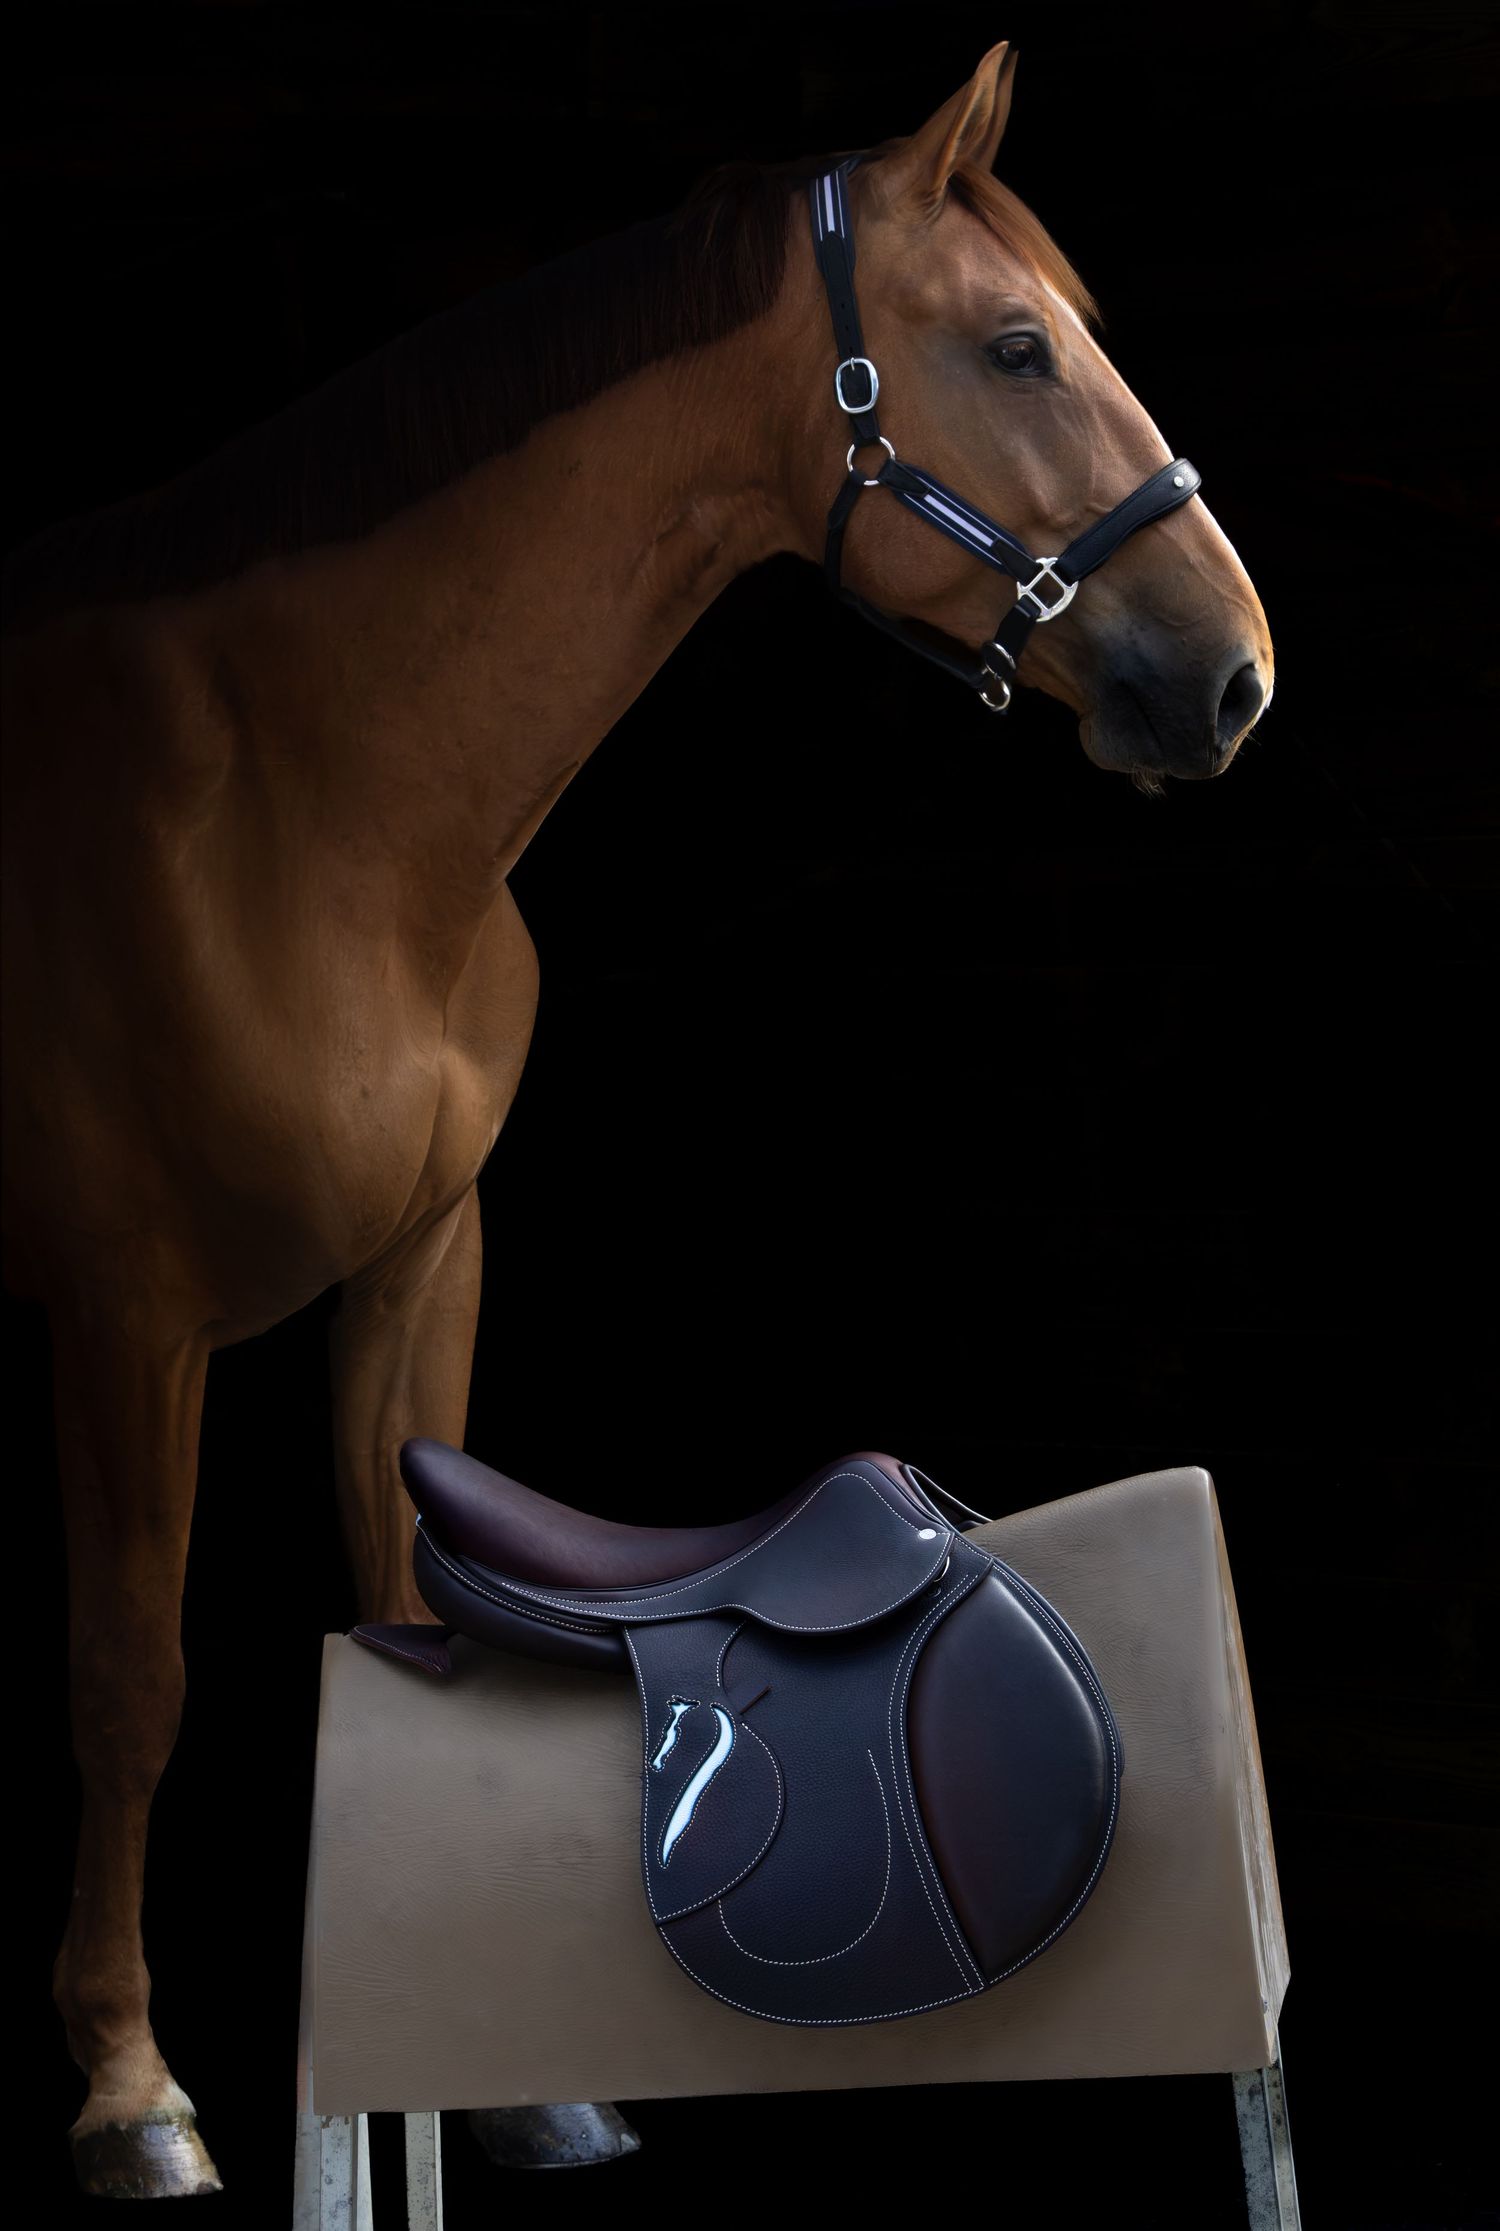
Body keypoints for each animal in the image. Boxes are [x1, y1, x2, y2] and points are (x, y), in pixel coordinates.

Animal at [2, 43, 1272, 2197]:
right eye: (1018, 345)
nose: (1239, 673)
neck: (300, 808)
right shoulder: (126, 1304)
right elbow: (129, 1673)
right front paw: (129, 2085)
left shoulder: (424, 1258)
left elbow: (410, 1604)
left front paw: (505, 2074)